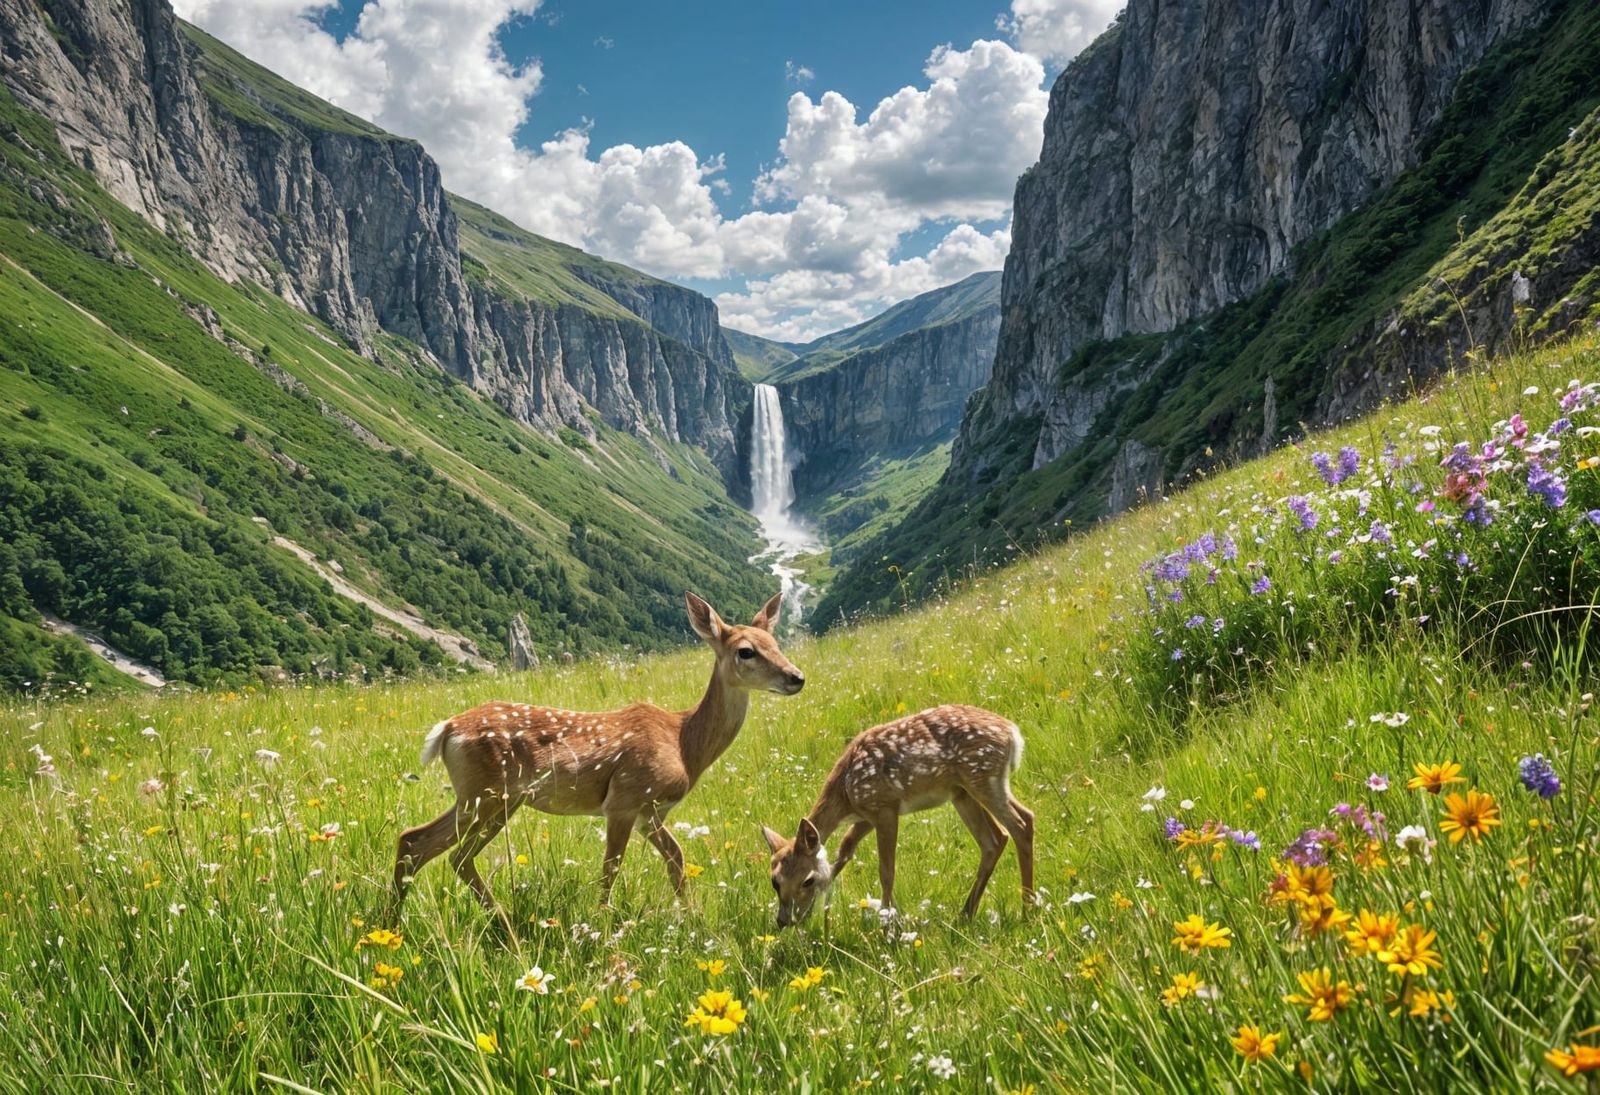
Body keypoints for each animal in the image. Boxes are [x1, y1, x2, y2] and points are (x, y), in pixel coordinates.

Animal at [393, 591, 803, 922]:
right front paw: (603, 923)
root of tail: (447, 729)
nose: (796, 677)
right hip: (493, 795)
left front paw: (692, 916)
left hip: (474, 796)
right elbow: (612, 867)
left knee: (414, 840)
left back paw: (392, 921)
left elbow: (676, 858)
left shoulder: (650, 812)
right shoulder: (625, 799)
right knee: (456, 857)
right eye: (746, 651)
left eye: (775, 642)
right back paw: (501, 920)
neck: (684, 742)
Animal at [762, 704, 1034, 928]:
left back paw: (1027, 910)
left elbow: (886, 871)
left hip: (982, 777)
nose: (784, 921)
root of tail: (1013, 734)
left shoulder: (885, 807)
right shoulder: (866, 816)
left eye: (807, 881)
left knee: (1020, 824)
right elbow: (845, 848)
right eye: (775, 881)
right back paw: (967, 913)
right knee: (998, 837)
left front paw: (888, 923)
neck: (846, 791)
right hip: (963, 792)